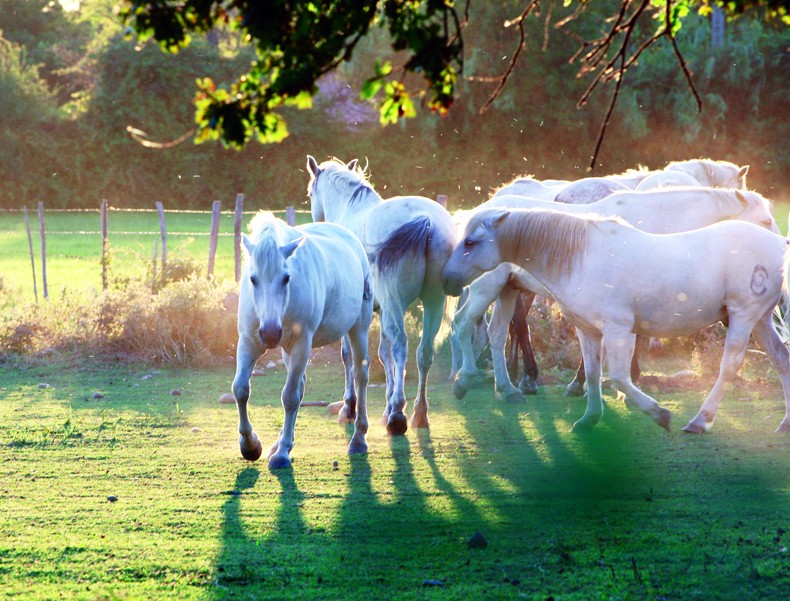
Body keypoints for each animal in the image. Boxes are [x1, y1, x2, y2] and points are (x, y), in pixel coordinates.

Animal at [232, 211, 374, 468]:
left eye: (286, 278)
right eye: (253, 279)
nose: (270, 333)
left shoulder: (301, 345)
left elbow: (290, 397)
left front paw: (281, 454)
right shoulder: (249, 342)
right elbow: (240, 389)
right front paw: (251, 446)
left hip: (358, 328)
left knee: (360, 375)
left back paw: (358, 439)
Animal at [310, 157, 458, 434]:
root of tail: (425, 220)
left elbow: (351, 356)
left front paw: (350, 407)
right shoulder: (381, 311)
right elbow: (383, 354)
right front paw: (387, 406)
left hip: (396, 305)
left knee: (401, 345)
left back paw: (398, 416)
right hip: (431, 302)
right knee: (424, 352)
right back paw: (418, 414)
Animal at [446, 209, 790, 434]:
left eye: (470, 242)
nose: (447, 279)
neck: (580, 257)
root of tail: (779, 244)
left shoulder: (618, 330)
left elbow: (620, 378)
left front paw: (659, 414)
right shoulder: (587, 331)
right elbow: (594, 374)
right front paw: (589, 418)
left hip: (744, 316)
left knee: (730, 366)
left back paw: (700, 420)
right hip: (759, 320)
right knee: (781, 359)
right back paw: (785, 423)